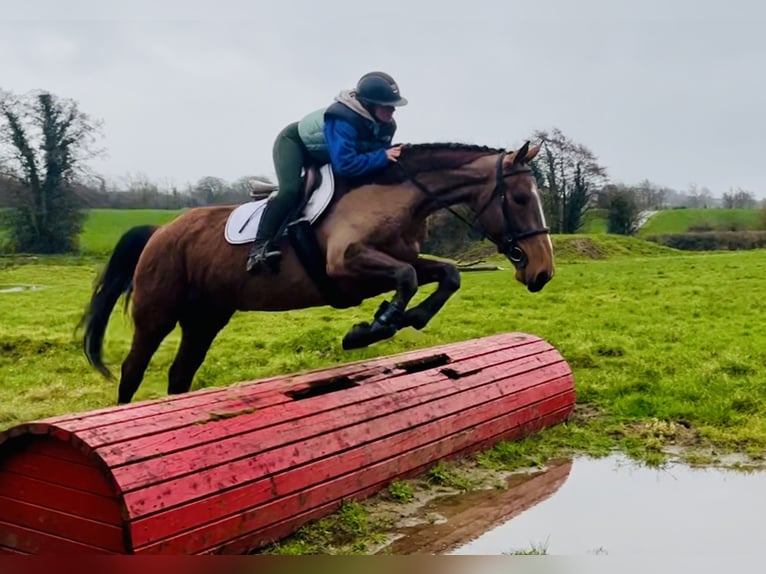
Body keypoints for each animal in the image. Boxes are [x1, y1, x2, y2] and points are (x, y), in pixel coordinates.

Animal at [80, 141, 554, 404]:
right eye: (518, 198)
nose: (543, 272)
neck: (399, 198)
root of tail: (161, 229)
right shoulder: (346, 265)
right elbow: (406, 277)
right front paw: (370, 329)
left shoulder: (396, 260)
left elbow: (446, 274)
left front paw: (411, 318)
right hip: (158, 314)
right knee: (133, 370)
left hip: (207, 317)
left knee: (180, 373)